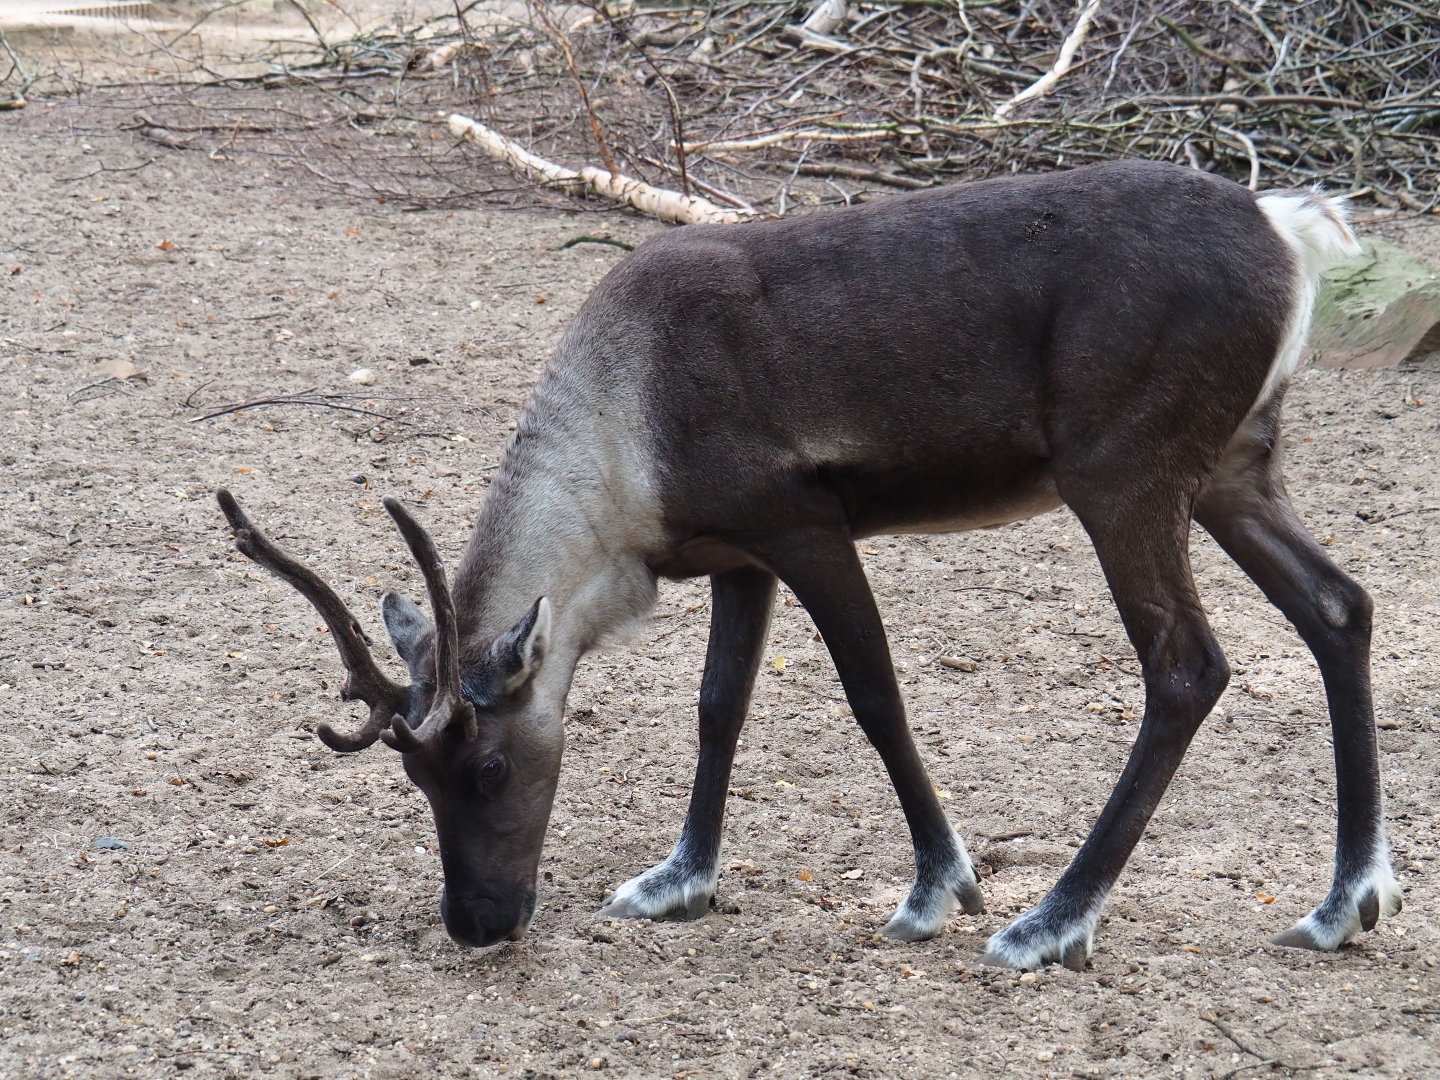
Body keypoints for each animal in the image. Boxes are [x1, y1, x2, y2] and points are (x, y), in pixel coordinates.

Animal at [216, 159, 1401, 970]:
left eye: (492, 768)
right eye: (414, 775)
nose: (476, 923)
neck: (625, 430)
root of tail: (1288, 229)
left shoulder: (805, 529)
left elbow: (874, 697)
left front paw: (938, 889)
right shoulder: (737, 558)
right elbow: (717, 708)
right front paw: (679, 879)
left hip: (1124, 477)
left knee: (1186, 666)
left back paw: (1051, 920)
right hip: (1235, 470)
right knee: (1339, 607)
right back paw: (1344, 901)